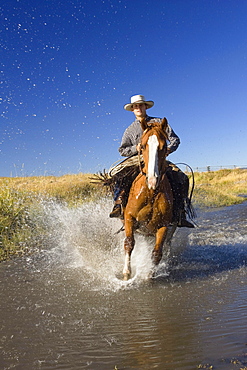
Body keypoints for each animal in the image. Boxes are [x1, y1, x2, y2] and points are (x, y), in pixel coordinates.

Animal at [122, 118, 176, 280]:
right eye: (143, 145)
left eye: (164, 146)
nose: (153, 180)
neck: (151, 193)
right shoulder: (129, 217)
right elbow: (129, 243)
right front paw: (126, 272)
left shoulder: (163, 226)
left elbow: (157, 253)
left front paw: (150, 274)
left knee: (167, 245)